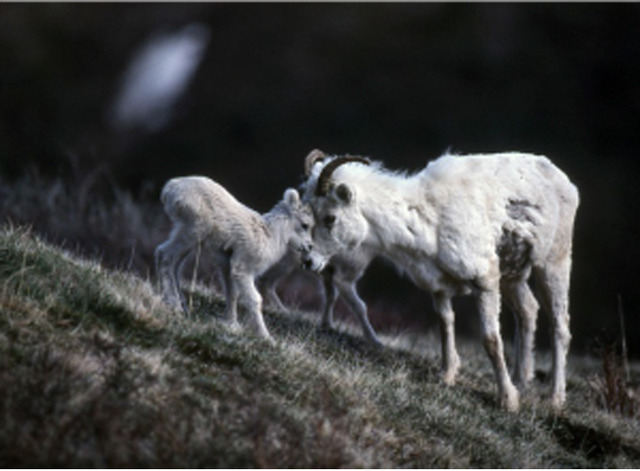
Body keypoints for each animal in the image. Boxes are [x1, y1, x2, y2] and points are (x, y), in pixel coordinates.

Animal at [156, 175, 324, 342]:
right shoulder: (243, 270)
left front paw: (232, 325)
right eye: (305, 225)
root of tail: (170, 188)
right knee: (166, 256)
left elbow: (232, 294)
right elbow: (255, 300)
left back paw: (180, 304)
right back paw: (175, 305)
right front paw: (266, 337)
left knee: (172, 263)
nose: (309, 246)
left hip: (190, 236)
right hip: (192, 231)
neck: (269, 236)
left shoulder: (228, 267)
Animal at [304, 153, 580, 412]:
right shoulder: (439, 287)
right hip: (513, 277)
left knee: (560, 326)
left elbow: (491, 339)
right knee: (528, 311)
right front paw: (447, 376)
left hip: (553, 264)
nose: (309, 261)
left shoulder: (486, 281)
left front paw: (507, 401)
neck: (428, 221)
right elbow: (445, 325)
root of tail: (565, 182)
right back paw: (521, 381)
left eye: (330, 218)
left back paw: (555, 399)